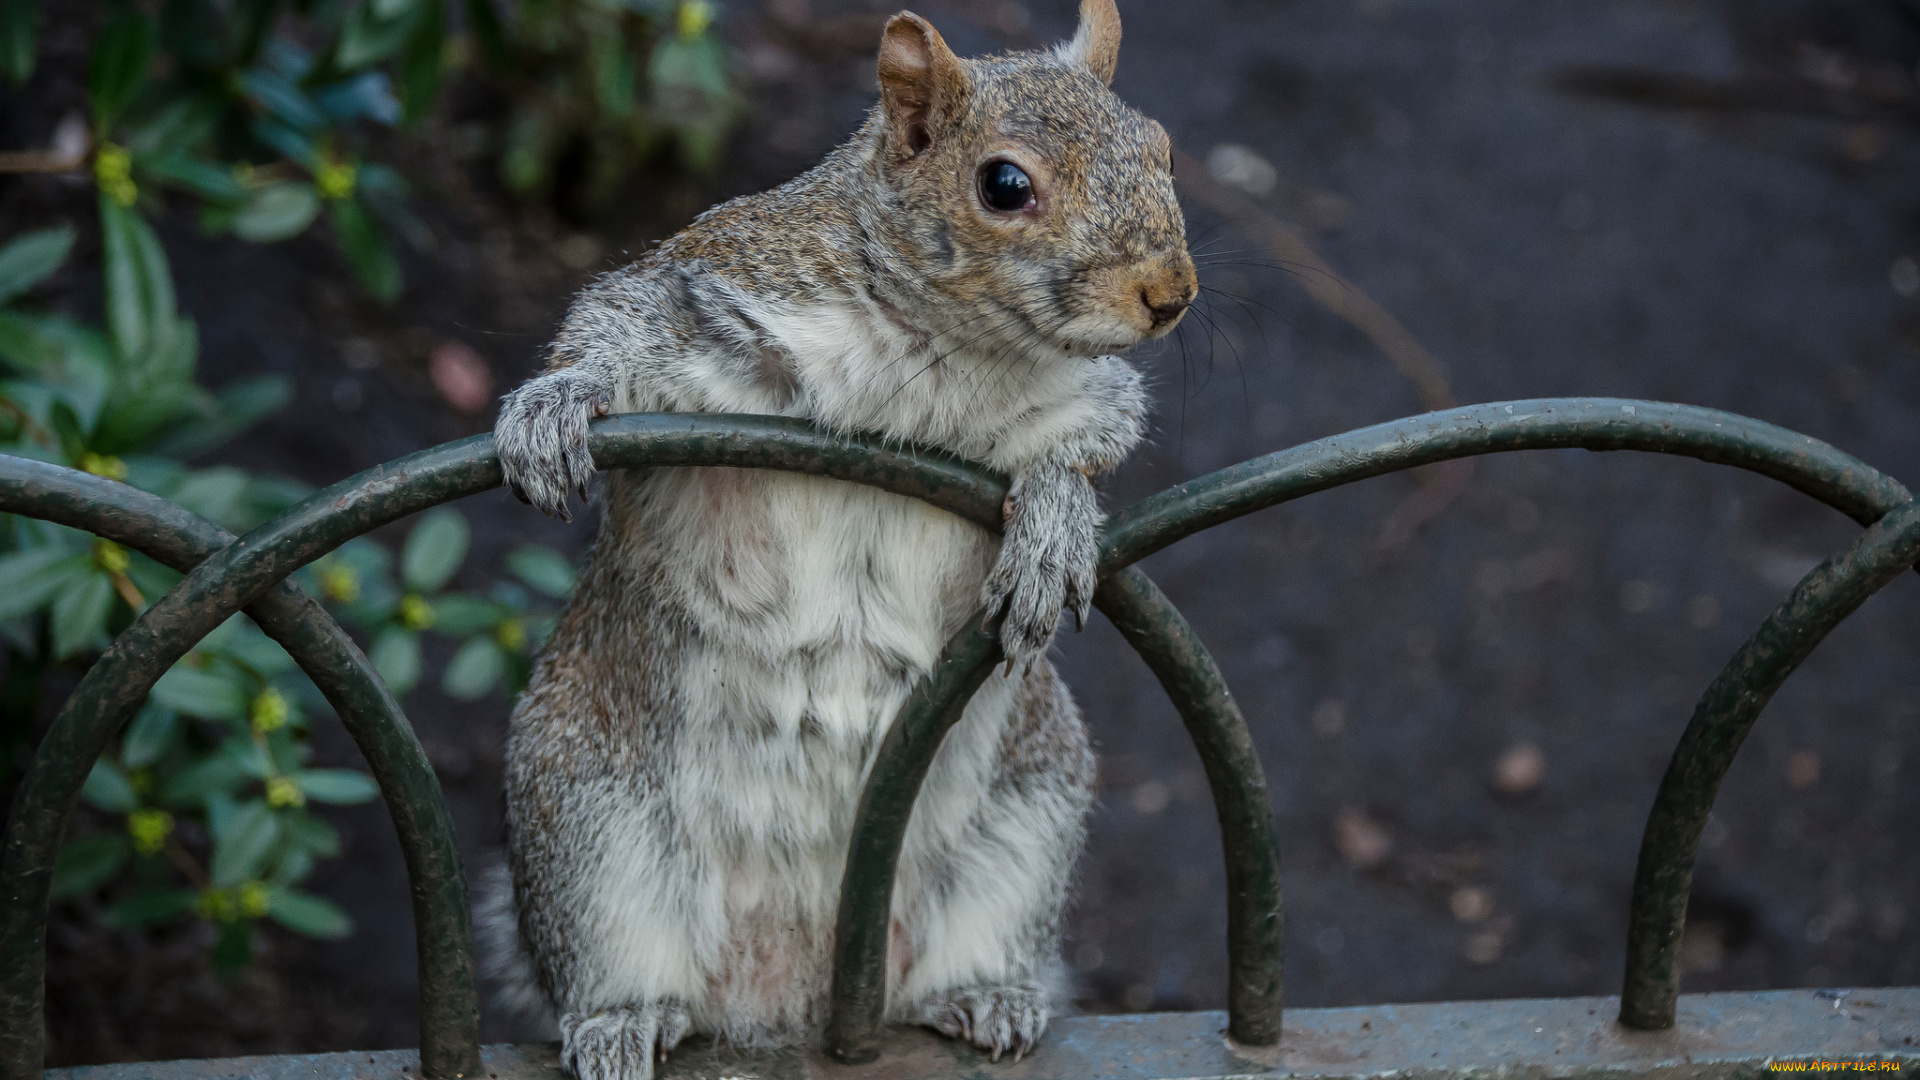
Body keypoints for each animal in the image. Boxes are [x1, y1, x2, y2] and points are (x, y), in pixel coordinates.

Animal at [487, 4, 1190, 1068]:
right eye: (1005, 184)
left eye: (1161, 147)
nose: (1171, 293)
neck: (953, 351)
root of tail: (790, 991)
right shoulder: (717, 295)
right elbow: (614, 325)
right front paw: (555, 404)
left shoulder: (1084, 399)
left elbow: (1087, 448)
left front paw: (1055, 527)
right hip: (587, 825)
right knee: (618, 958)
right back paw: (621, 1022)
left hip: (1025, 818)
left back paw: (984, 996)